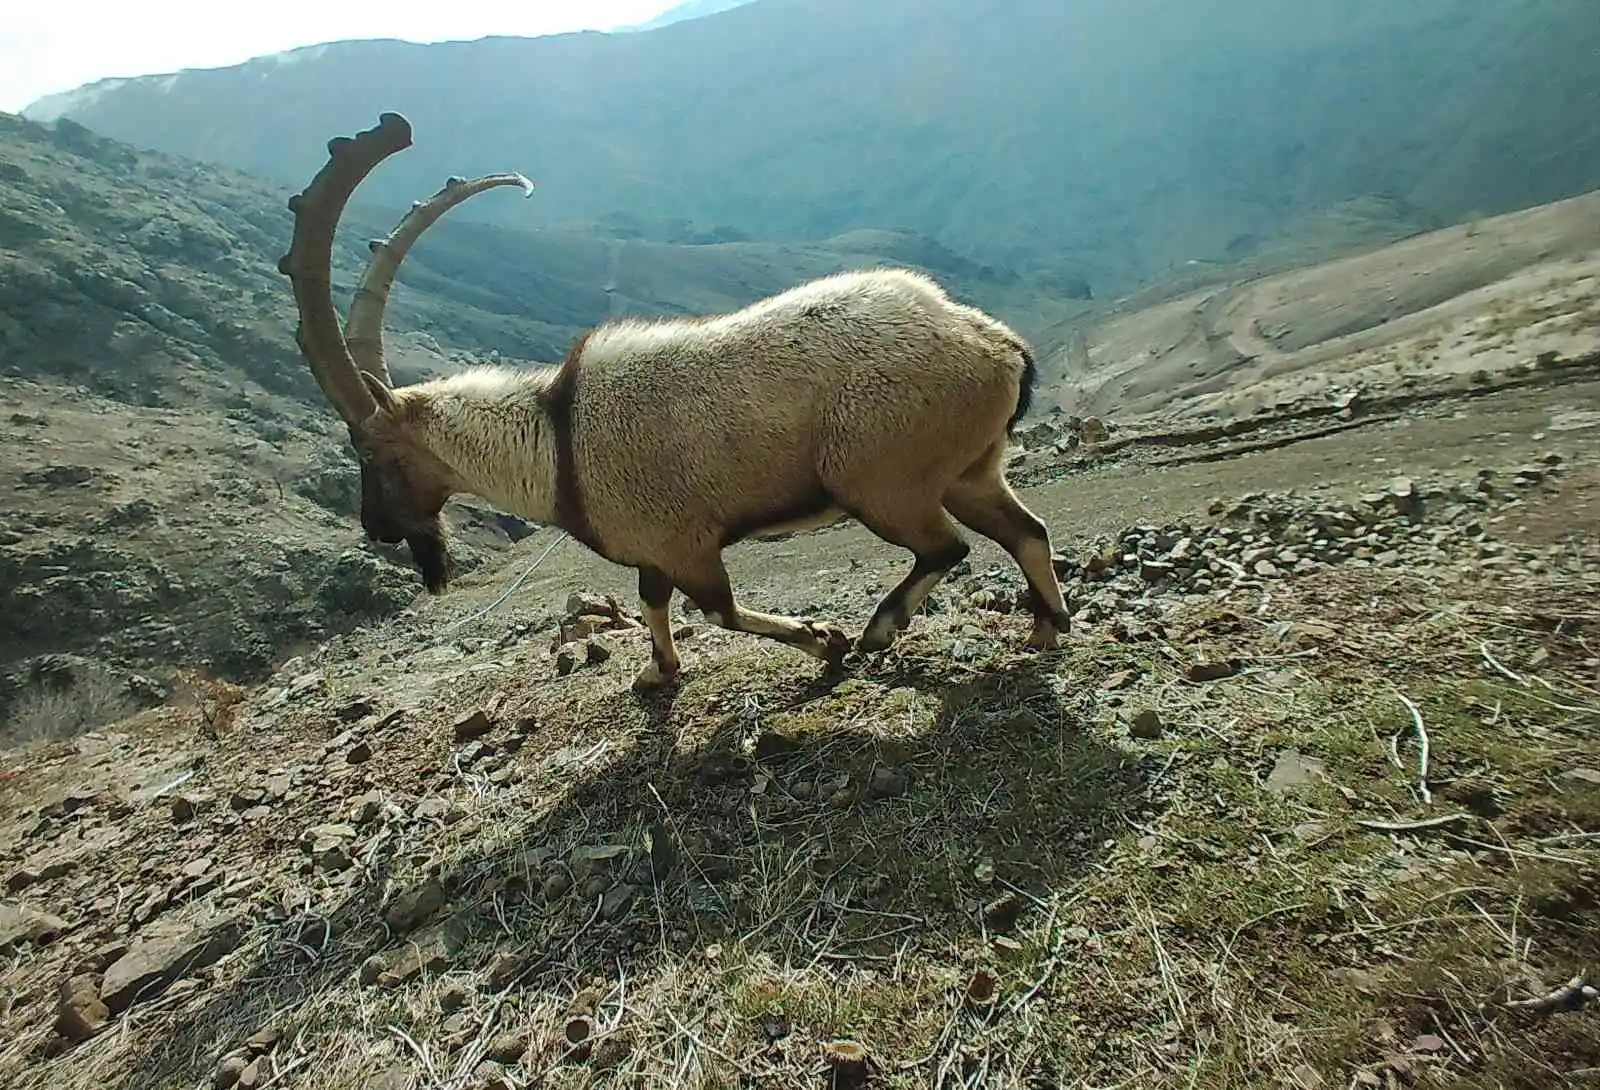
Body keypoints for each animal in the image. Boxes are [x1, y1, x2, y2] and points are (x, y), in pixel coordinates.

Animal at [278, 110, 1075, 688]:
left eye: (373, 452)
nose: (378, 528)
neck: (554, 439)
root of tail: (994, 345)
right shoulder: (653, 554)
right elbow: (651, 603)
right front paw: (658, 675)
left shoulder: (686, 542)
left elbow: (715, 610)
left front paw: (826, 642)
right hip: (969, 470)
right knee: (1024, 531)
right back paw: (1046, 628)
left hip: (880, 482)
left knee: (949, 546)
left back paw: (882, 629)